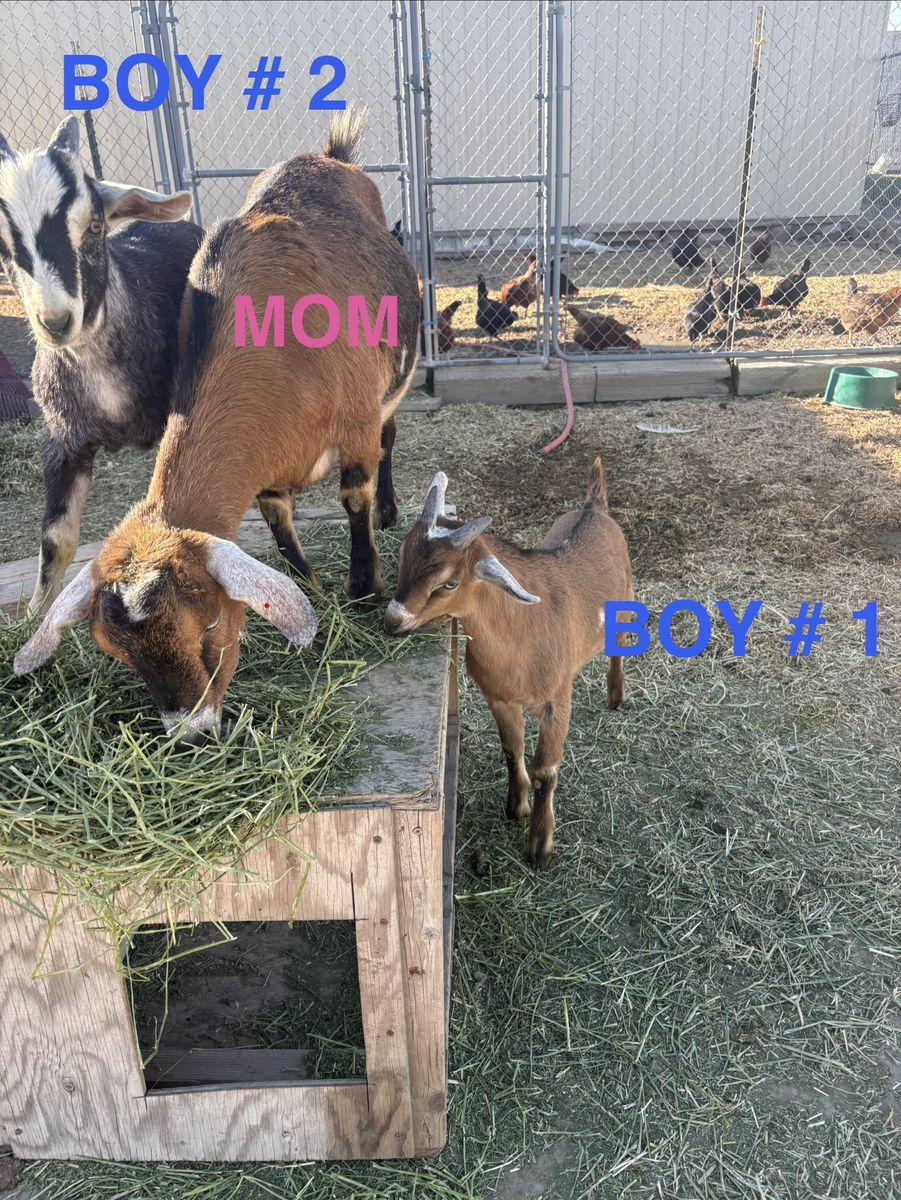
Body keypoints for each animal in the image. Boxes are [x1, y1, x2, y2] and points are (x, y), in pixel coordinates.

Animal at [0, 117, 202, 613]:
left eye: (93, 225)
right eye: (3, 243)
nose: (56, 320)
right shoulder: (62, 441)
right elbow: (56, 539)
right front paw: (36, 614)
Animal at [384, 459, 634, 868]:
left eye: (448, 584)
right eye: (403, 555)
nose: (393, 620)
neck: (522, 633)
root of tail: (593, 507)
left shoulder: (557, 702)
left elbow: (545, 770)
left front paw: (539, 844)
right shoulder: (498, 697)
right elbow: (511, 748)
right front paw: (516, 805)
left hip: (625, 601)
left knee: (620, 645)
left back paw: (616, 695)